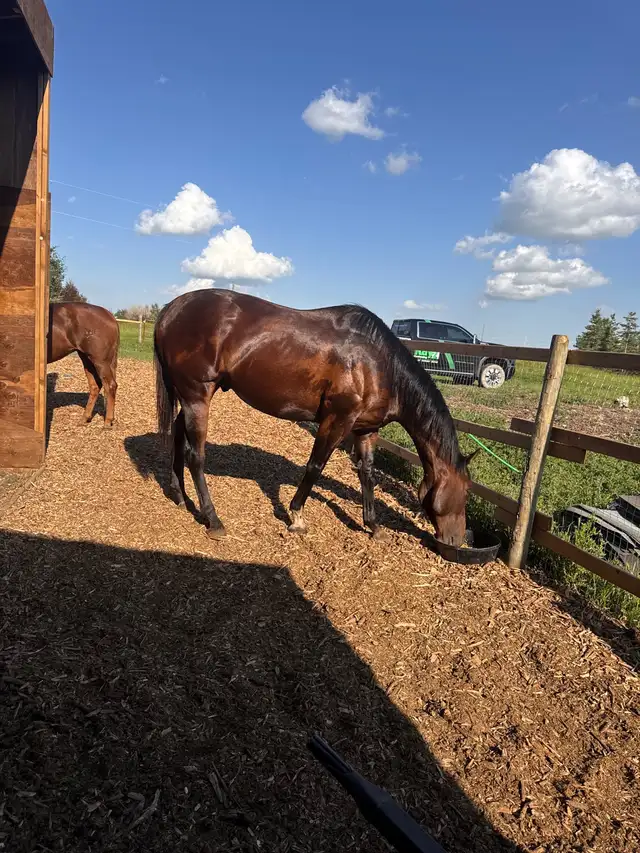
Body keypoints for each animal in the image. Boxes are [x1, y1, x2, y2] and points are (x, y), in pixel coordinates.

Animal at [153, 289, 475, 544]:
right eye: (466, 492)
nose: (457, 540)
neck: (375, 363)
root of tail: (172, 308)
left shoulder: (366, 430)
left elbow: (367, 474)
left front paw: (373, 525)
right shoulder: (337, 419)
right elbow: (315, 466)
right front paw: (296, 516)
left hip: (189, 397)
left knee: (177, 436)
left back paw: (180, 496)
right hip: (197, 395)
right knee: (196, 456)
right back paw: (214, 520)